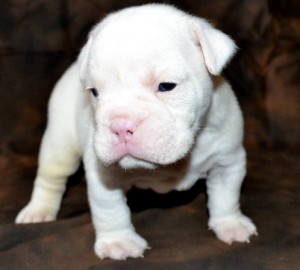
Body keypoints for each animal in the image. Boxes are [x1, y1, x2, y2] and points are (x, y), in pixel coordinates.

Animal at [15, 4, 258, 260]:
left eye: (166, 86)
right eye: (94, 92)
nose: (121, 126)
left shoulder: (227, 161)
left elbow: (226, 195)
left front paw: (231, 224)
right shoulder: (104, 178)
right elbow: (110, 210)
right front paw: (118, 242)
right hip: (59, 143)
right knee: (51, 177)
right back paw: (38, 211)